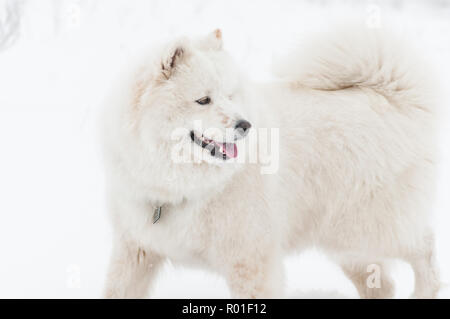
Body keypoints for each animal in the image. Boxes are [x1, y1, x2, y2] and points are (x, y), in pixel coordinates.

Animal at [101, 27, 440, 300]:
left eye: (230, 95)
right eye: (203, 100)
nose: (244, 125)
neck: (179, 186)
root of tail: (393, 98)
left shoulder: (250, 260)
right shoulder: (135, 251)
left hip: (366, 230)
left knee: (423, 246)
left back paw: (426, 291)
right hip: (347, 243)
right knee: (383, 285)